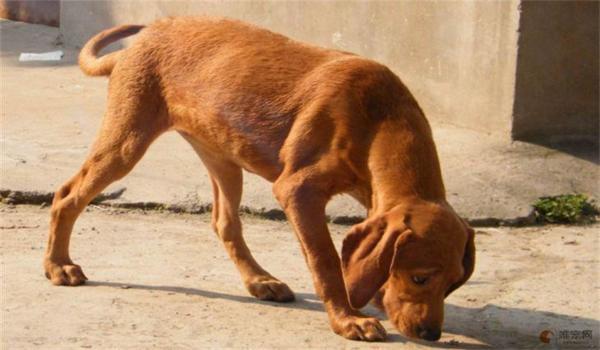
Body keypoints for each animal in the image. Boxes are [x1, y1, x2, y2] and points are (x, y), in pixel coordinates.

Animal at [43, 16, 474, 342]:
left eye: (454, 283)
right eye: (420, 278)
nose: (431, 334)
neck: (380, 117)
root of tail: (140, 39)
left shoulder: (372, 199)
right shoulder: (298, 190)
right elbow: (326, 261)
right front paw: (347, 318)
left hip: (224, 159)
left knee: (224, 222)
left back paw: (260, 281)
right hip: (127, 141)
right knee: (68, 195)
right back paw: (59, 266)